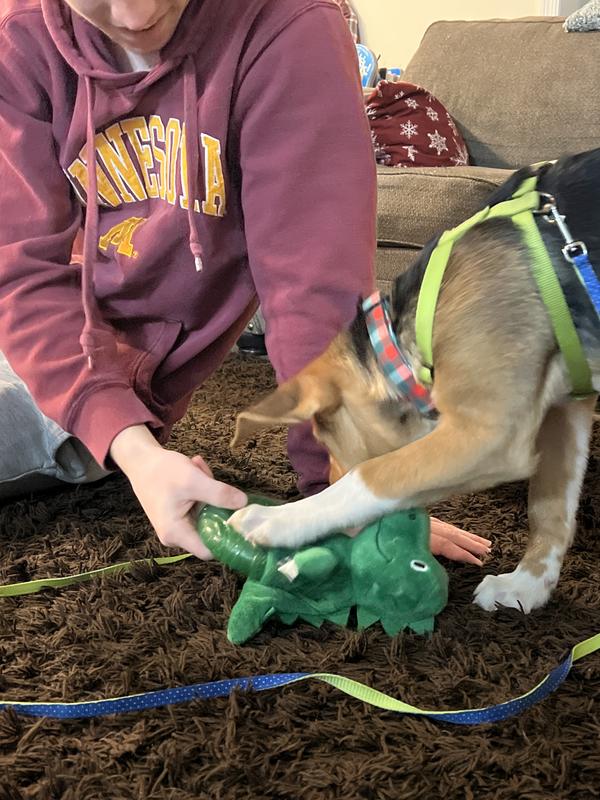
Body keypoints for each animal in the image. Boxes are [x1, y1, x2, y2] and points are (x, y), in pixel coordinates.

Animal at [228, 148, 600, 614]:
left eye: (328, 442)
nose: (321, 484)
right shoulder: (567, 409)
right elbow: (550, 507)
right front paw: (526, 586)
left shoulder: (492, 434)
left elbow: (374, 474)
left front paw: (278, 518)